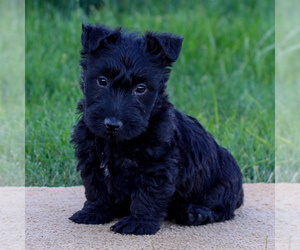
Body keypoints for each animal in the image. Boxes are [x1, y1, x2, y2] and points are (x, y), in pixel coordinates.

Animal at [69, 23, 244, 234]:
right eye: (102, 81)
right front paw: (93, 212)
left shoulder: (156, 167)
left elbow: (147, 196)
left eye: (141, 88)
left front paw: (138, 223)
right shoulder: (91, 160)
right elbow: (96, 189)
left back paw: (195, 213)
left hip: (222, 186)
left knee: (223, 210)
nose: (112, 124)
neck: (117, 143)